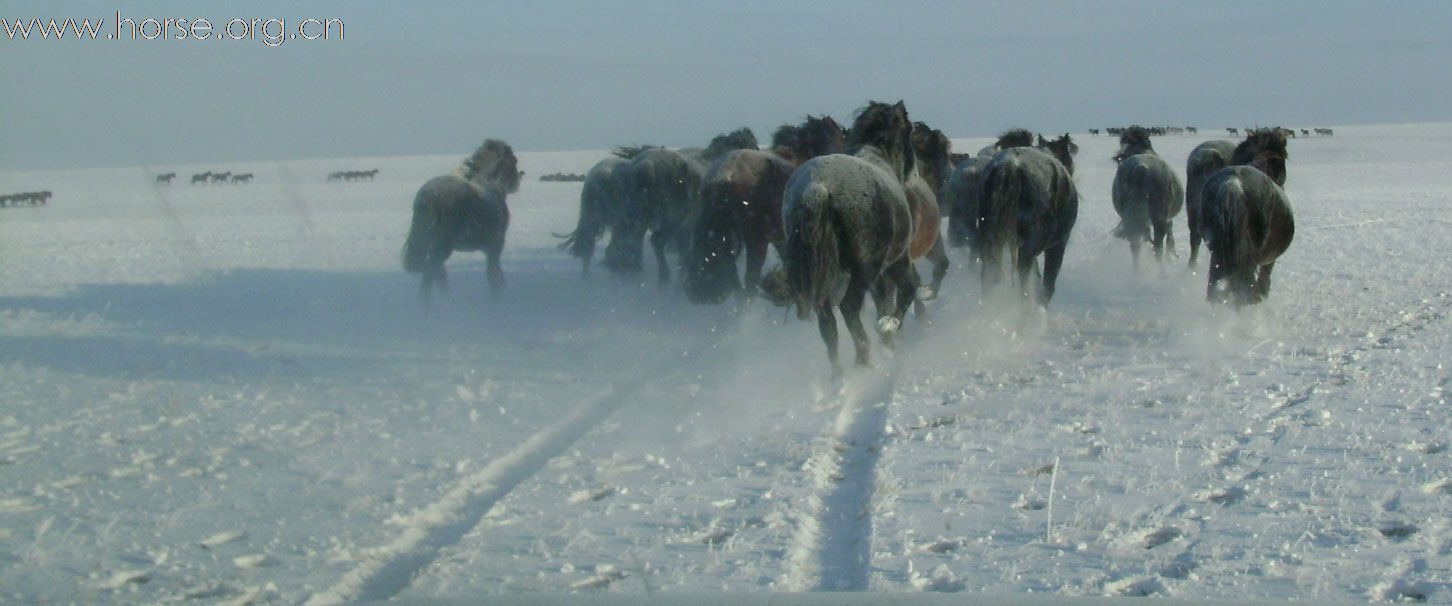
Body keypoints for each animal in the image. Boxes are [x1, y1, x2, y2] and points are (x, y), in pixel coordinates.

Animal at [403, 140, 522, 302]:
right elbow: (493, 273)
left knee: (434, 270)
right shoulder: (496, 245)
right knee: (431, 270)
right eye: (514, 161)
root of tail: (429, 197)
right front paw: (497, 297)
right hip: (443, 247)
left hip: (428, 242)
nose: (516, 184)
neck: (490, 185)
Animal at [975, 130, 1080, 305]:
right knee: (1024, 280)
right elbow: (1047, 284)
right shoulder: (1058, 244)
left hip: (989, 239)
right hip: (1029, 247)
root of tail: (1011, 166)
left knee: (988, 274)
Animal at [1202, 129, 1295, 305]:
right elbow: (1263, 283)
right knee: (1243, 289)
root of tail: (1233, 183)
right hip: (1247, 260)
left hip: (1218, 253)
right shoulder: (1267, 262)